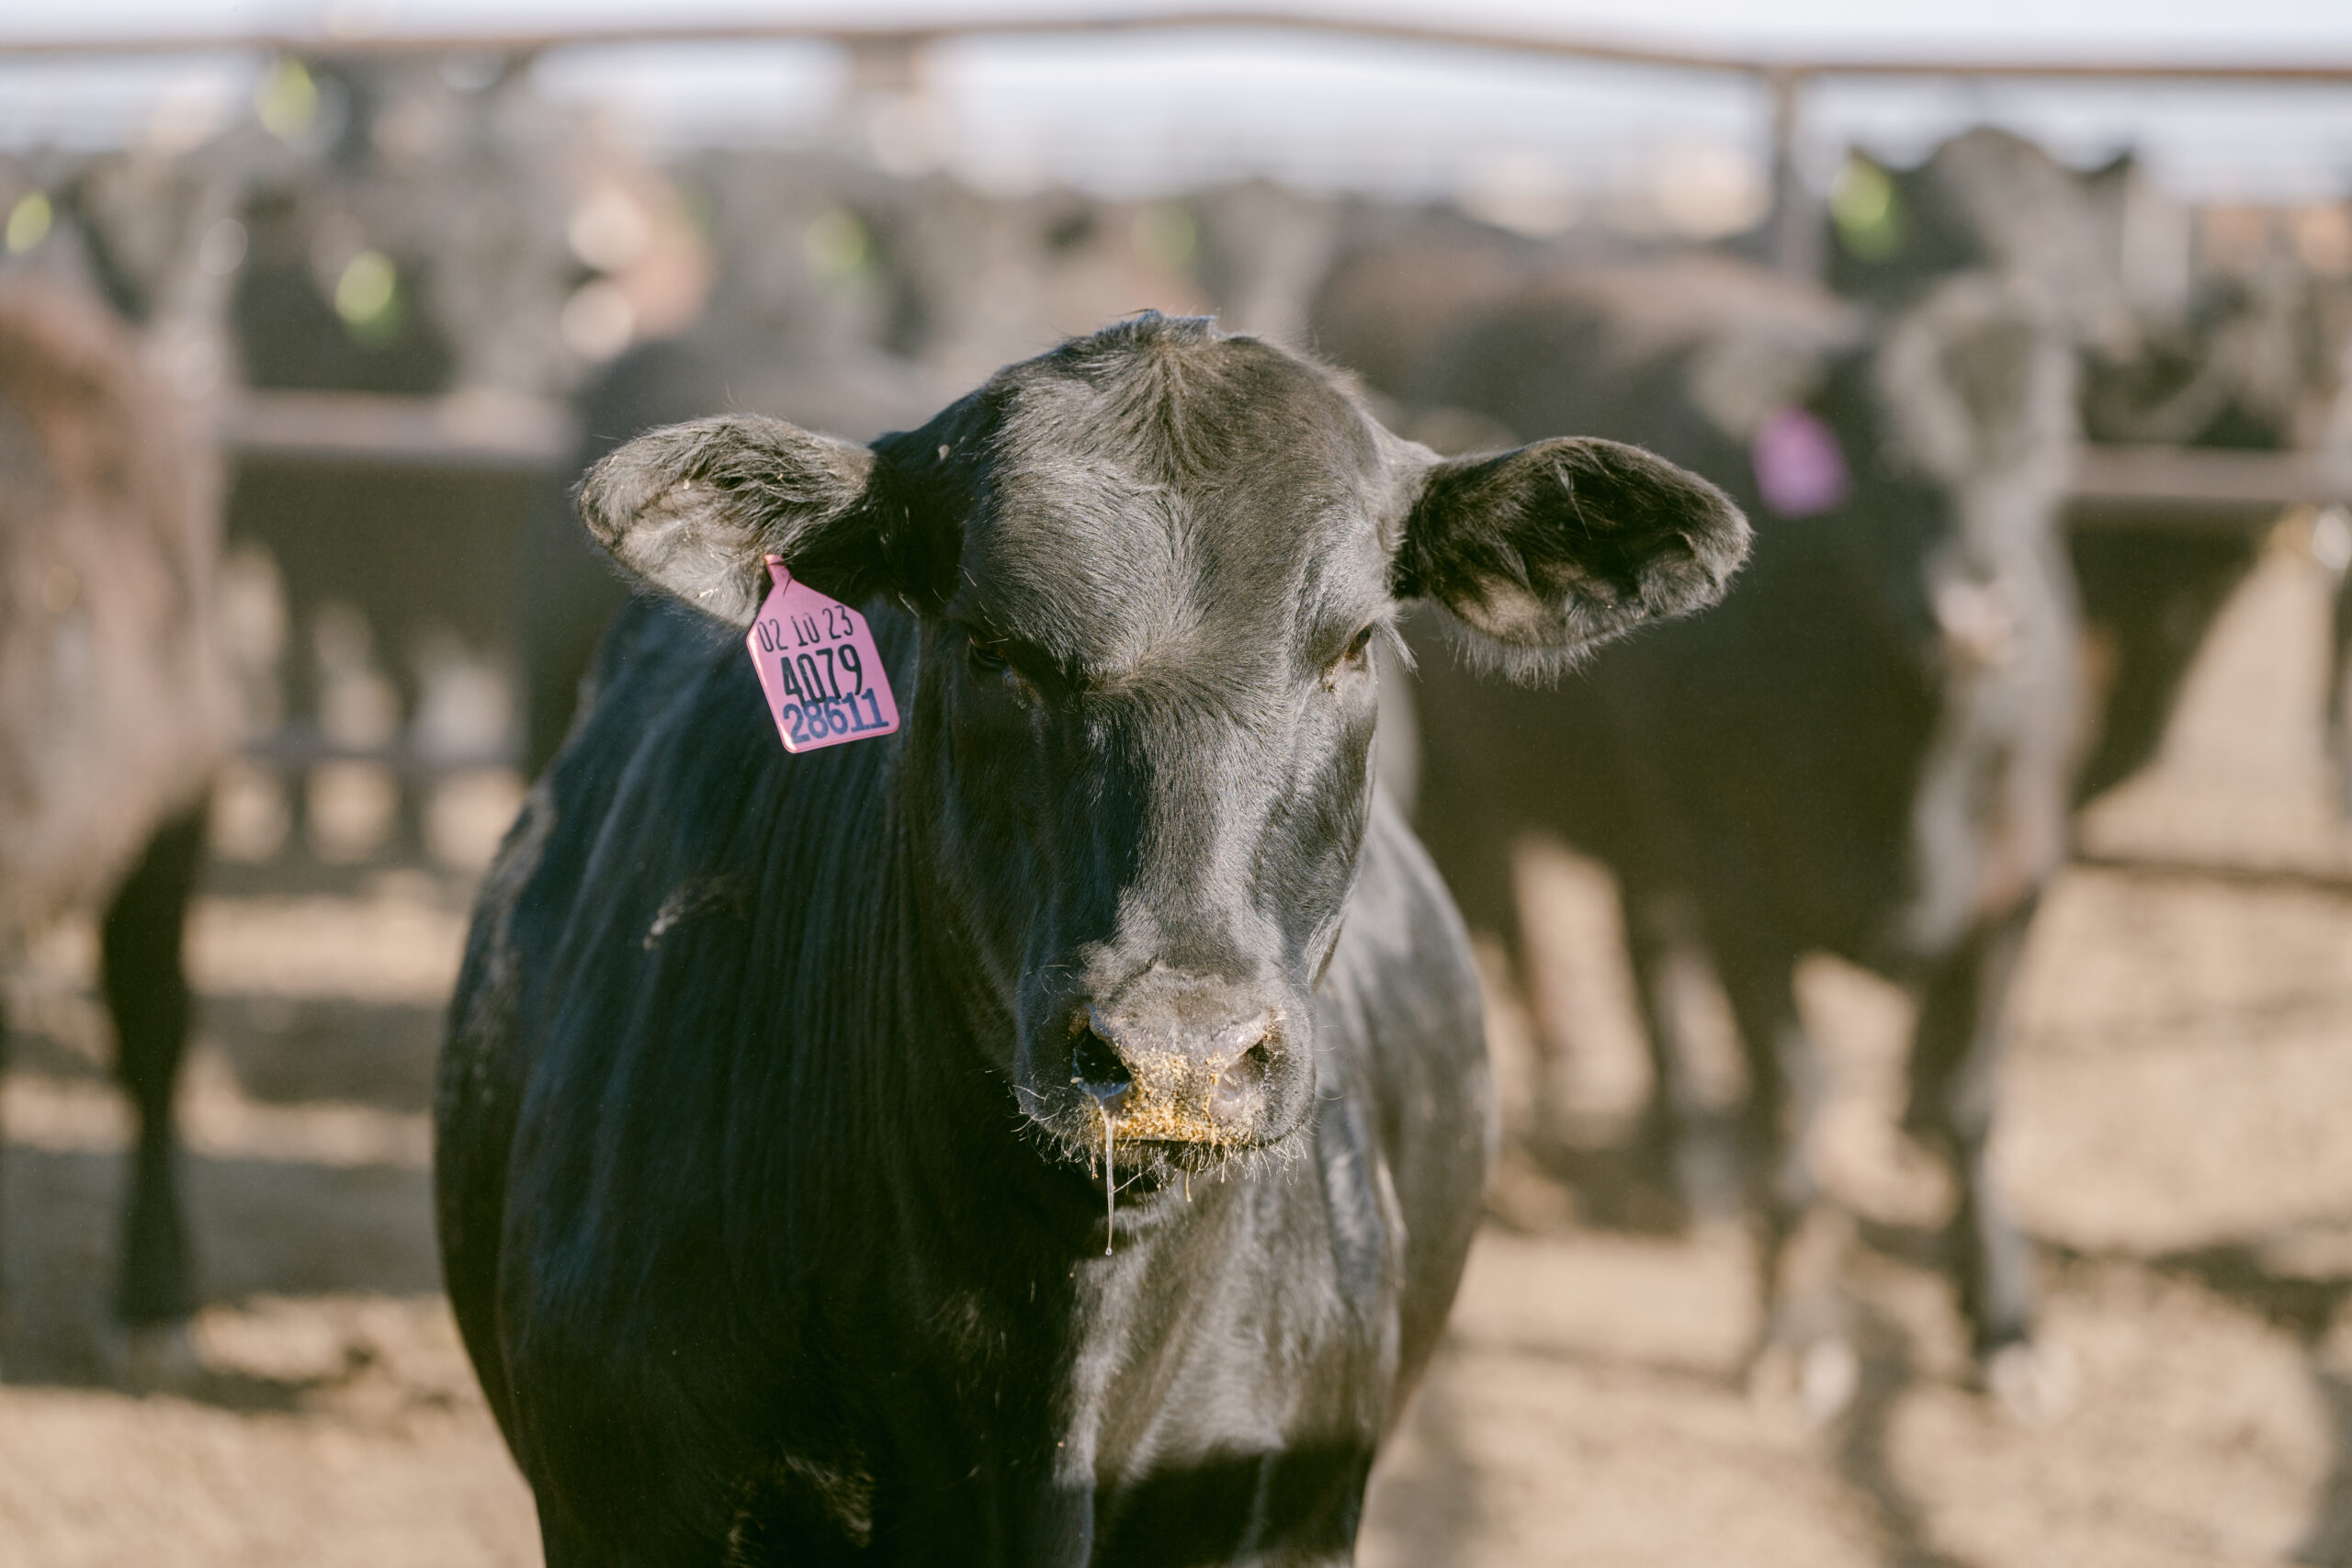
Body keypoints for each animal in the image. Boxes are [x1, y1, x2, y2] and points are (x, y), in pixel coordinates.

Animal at [1368, 252, 2084, 1423]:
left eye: (2052, 445)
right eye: (1888, 450)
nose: (1979, 607)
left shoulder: (2017, 886)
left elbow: (1968, 1104)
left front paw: (2004, 1320)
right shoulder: (1740, 889)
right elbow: (1793, 1097)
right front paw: (1797, 1330)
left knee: (1647, 948)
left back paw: (1684, 1163)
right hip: (1490, 801)